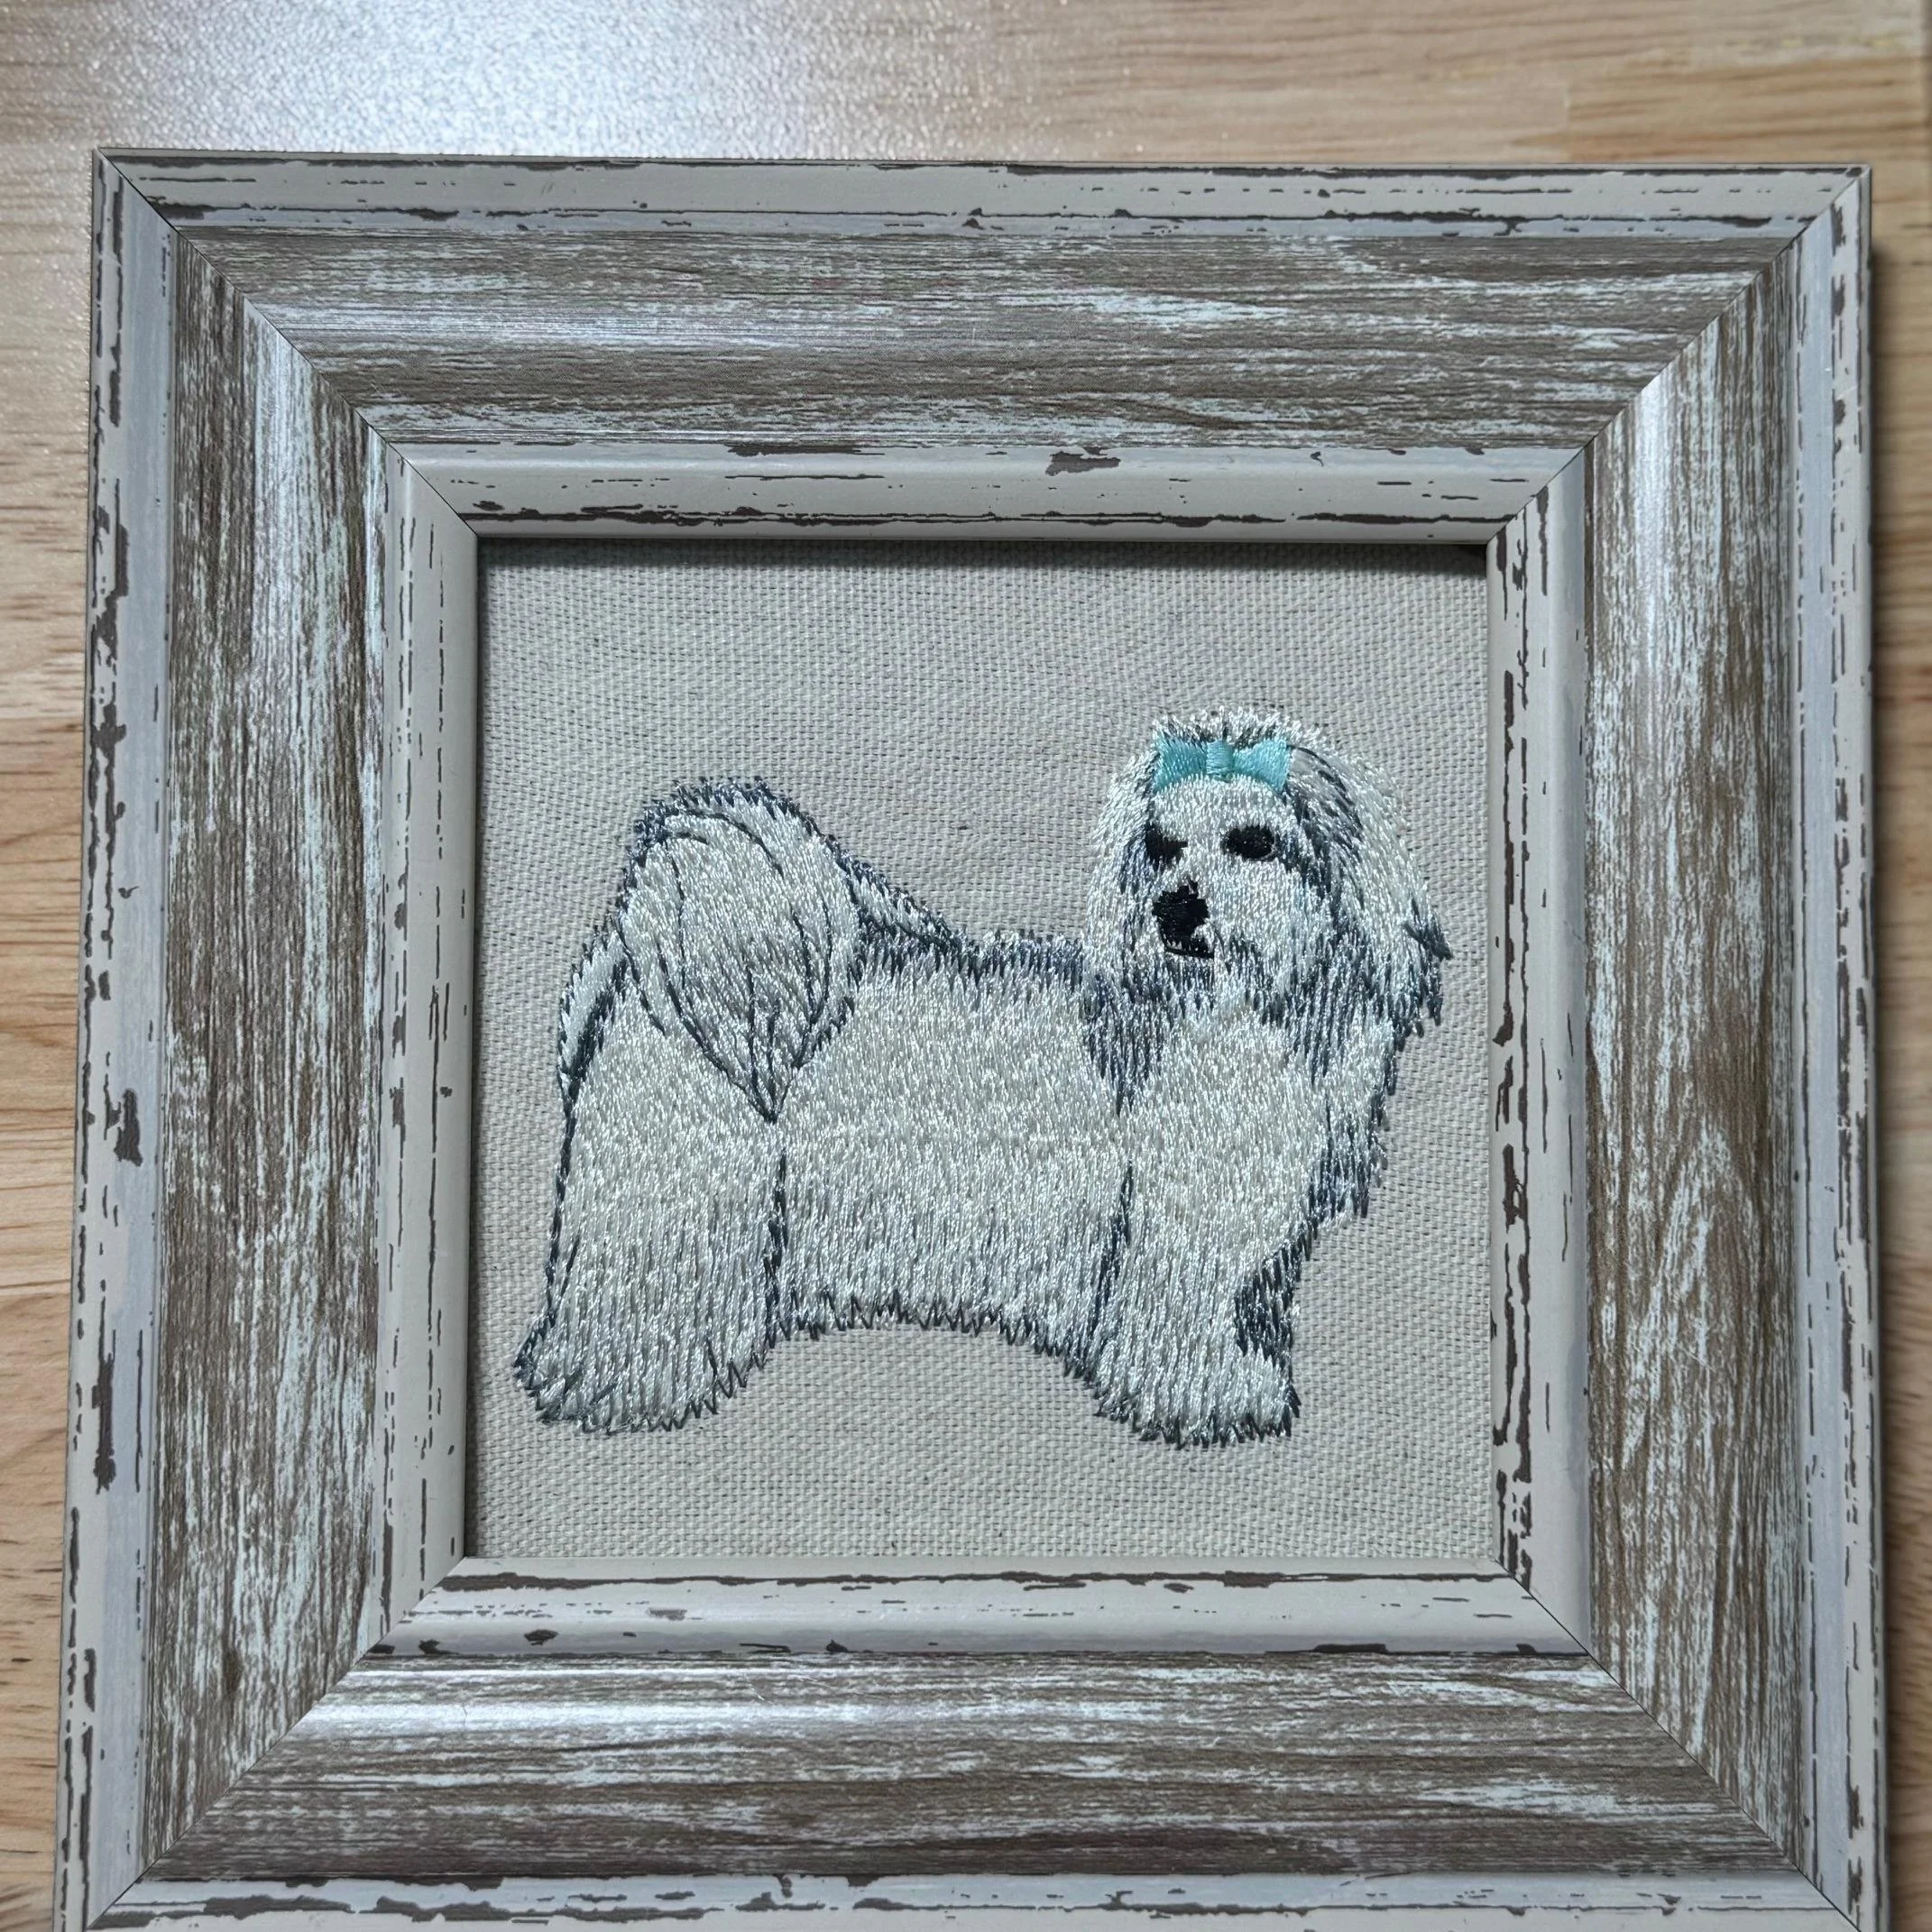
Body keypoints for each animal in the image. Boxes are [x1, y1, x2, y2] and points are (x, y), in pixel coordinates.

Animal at [514, 712, 1447, 1446]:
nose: (1176, 907)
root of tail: (635, 960)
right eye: (1162, 849)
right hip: (673, 1205)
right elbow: (1181, 1321)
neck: (1231, 1015)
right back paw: (620, 1389)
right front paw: (1203, 1400)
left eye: (1255, 842)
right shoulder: (1180, 1235)